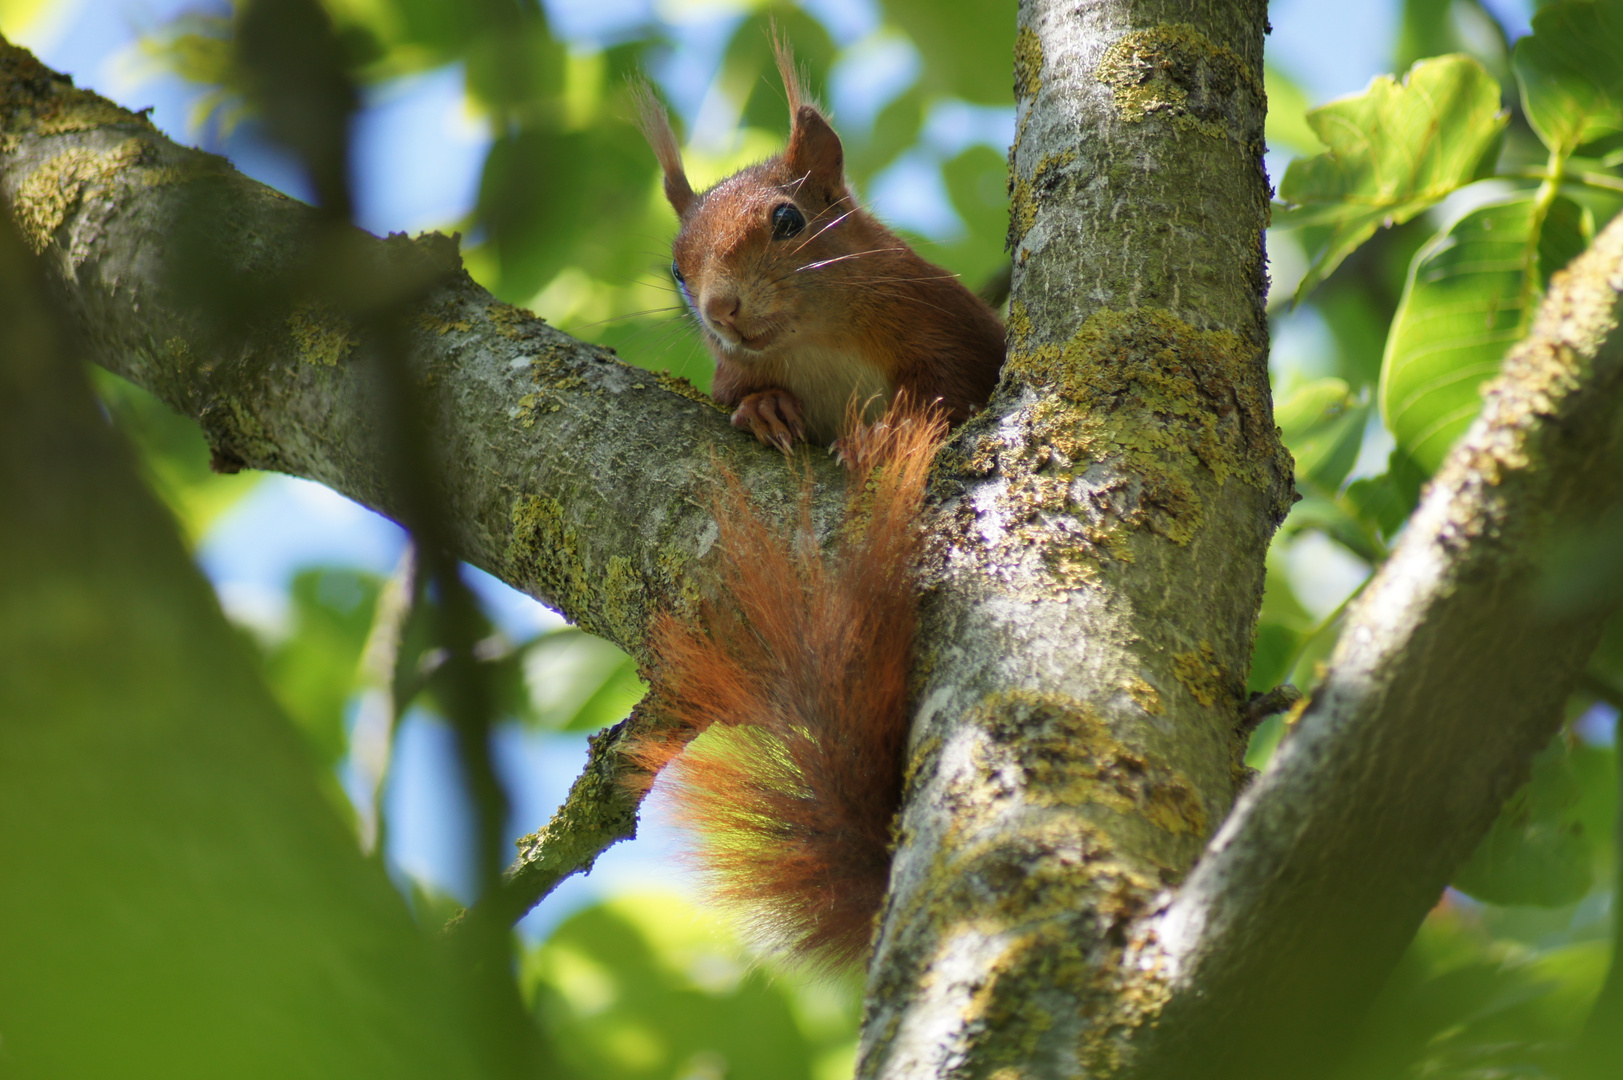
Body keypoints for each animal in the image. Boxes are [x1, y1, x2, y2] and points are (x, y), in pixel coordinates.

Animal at [619, 44, 999, 967]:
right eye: (676, 271)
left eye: (788, 221)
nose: (721, 311)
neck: (815, 342)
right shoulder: (734, 370)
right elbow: (742, 394)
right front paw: (764, 412)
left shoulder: (947, 325)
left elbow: (948, 388)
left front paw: (881, 433)